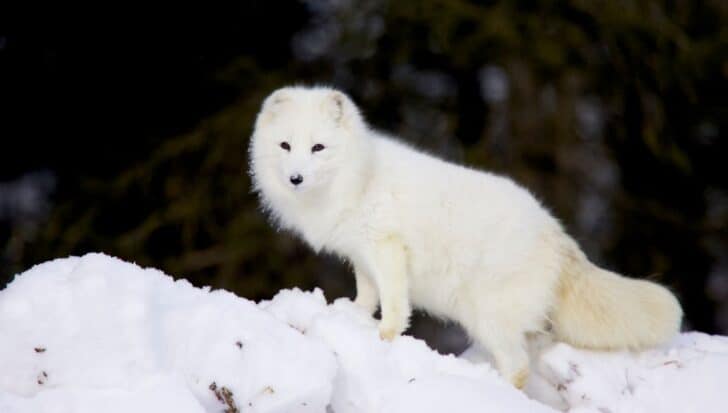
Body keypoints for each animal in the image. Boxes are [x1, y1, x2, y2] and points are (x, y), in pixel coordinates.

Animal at [250, 85, 684, 388]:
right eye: (286, 146)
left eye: (318, 148)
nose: (295, 178)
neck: (359, 178)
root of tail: (558, 236)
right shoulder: (361, 255)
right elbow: (367, 294)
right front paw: (352, 314)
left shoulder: (387, 248)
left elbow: (393, 304)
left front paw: (384, 336)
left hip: (487, 317)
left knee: (519, 369)